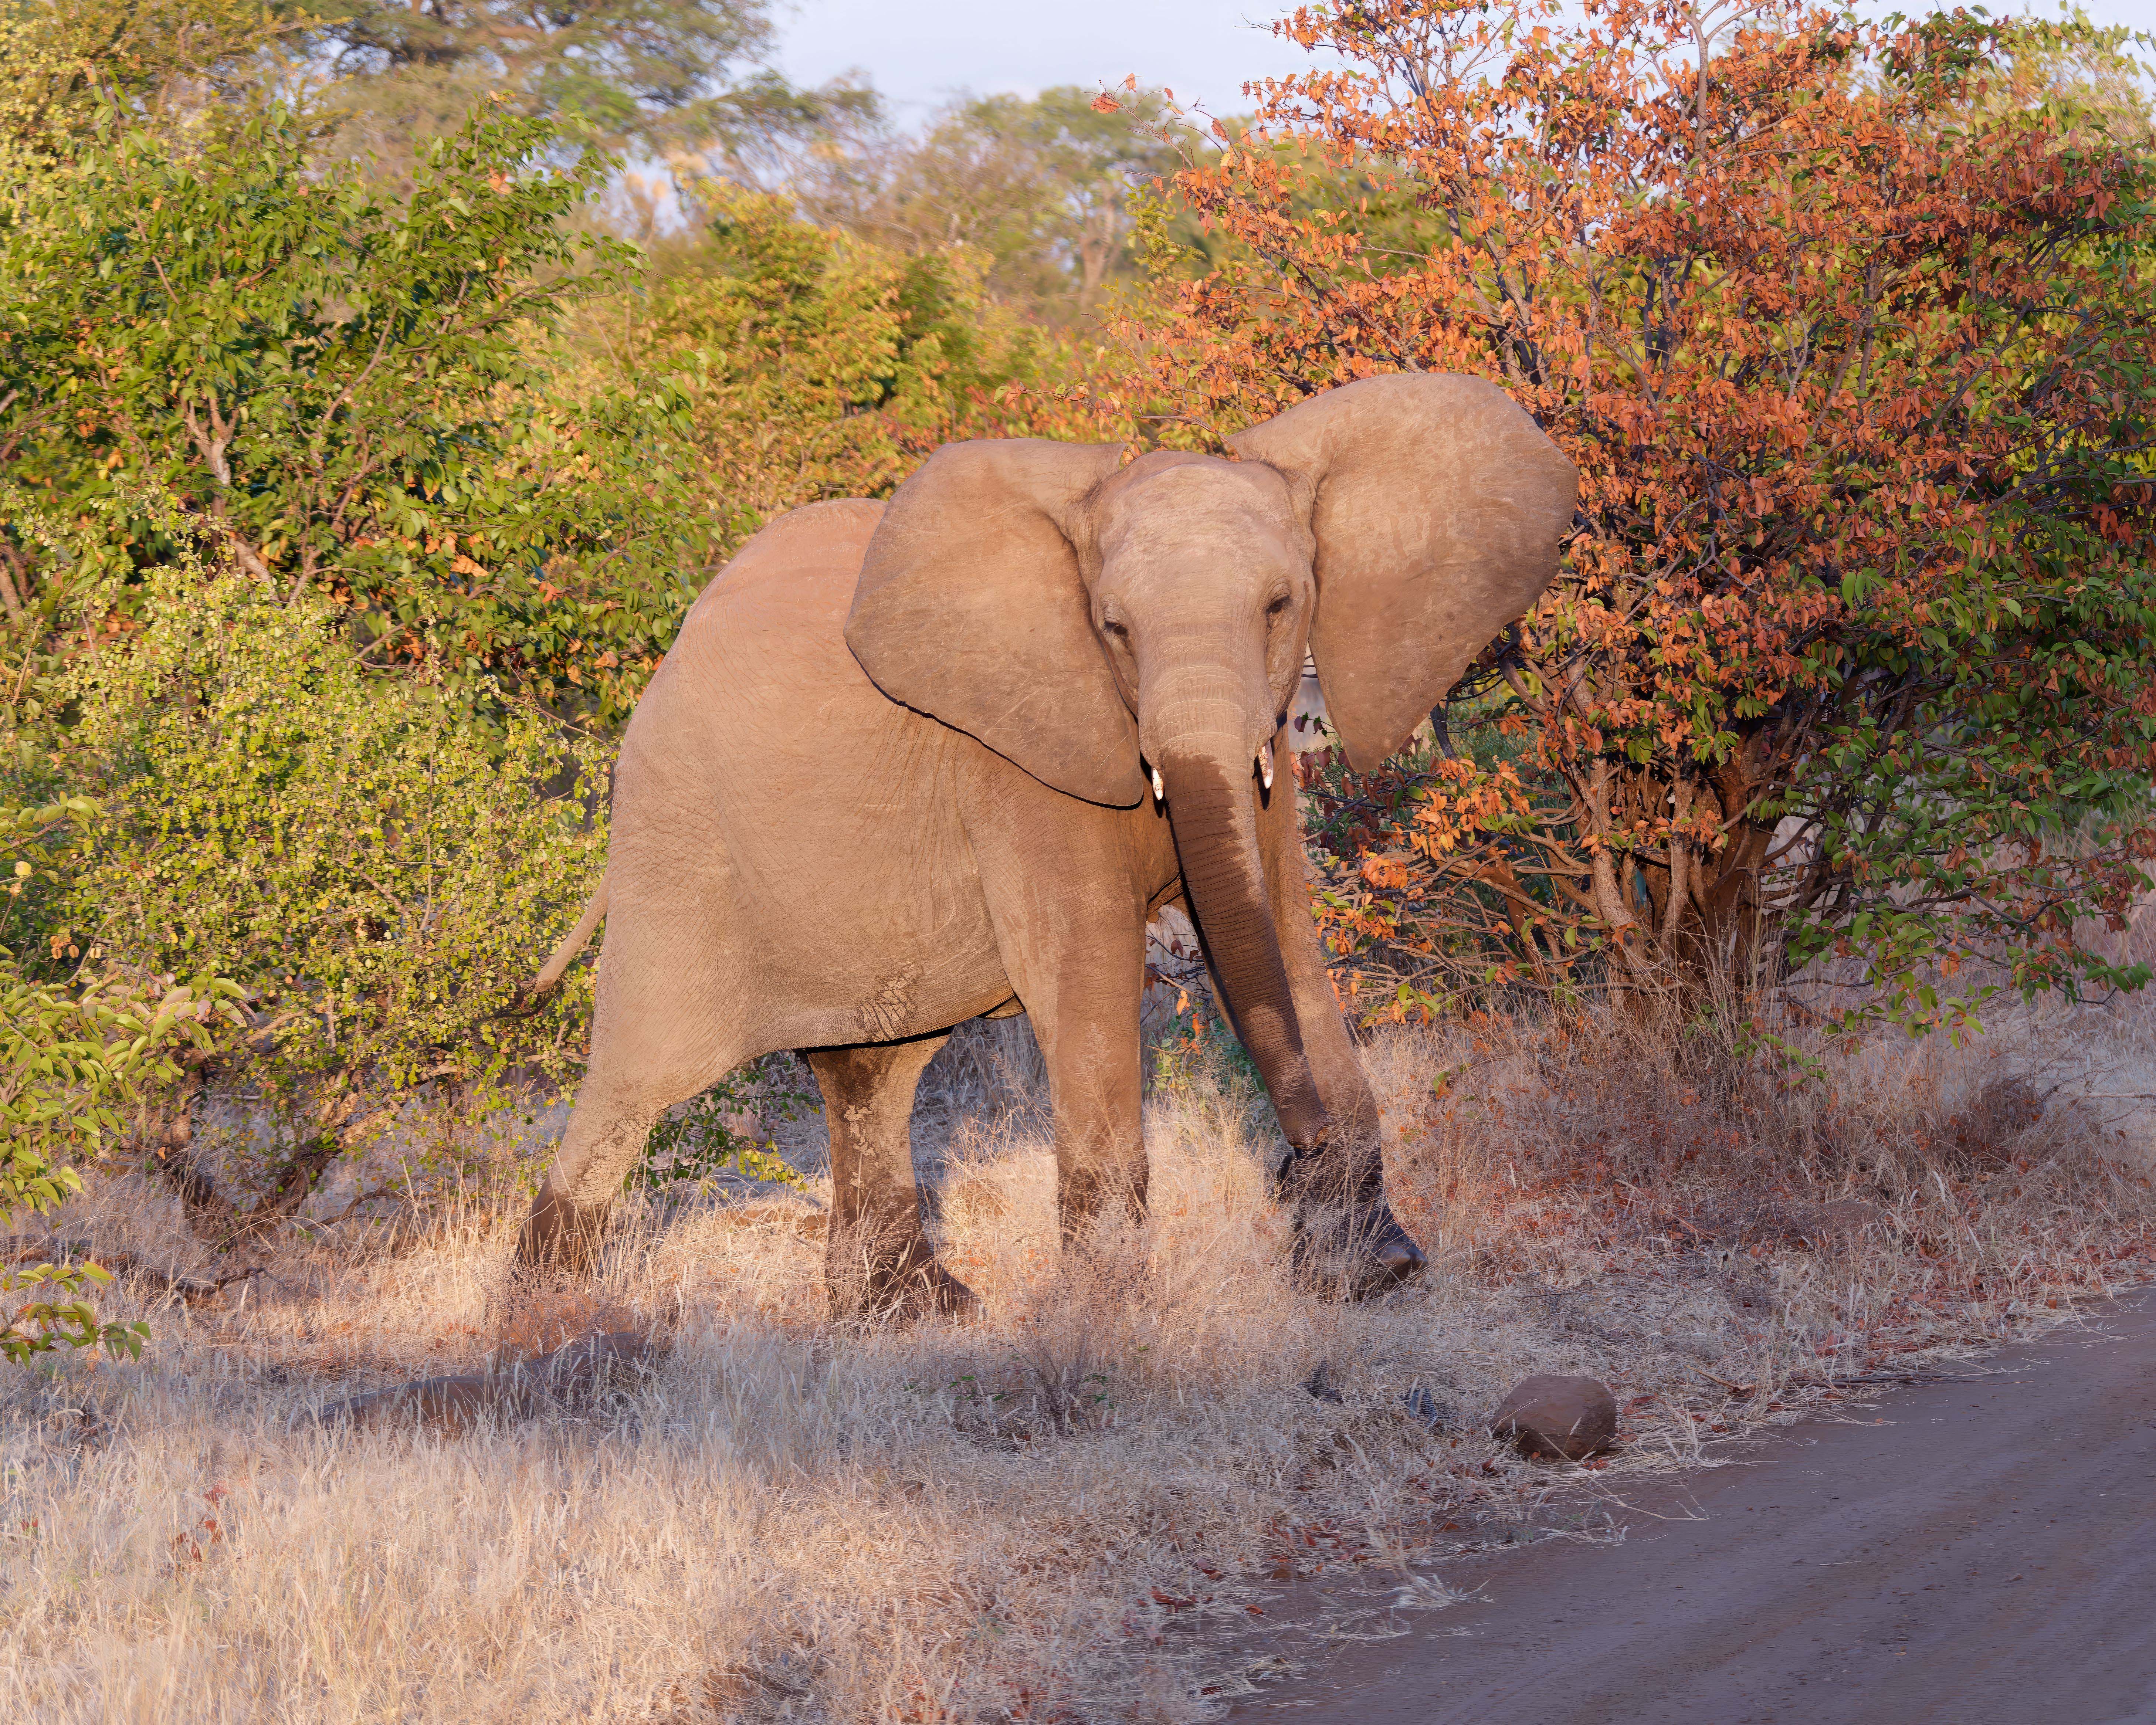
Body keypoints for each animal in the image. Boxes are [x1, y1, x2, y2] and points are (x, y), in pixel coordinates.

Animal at [514, 372, 1577, 1311]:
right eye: (1112, 628)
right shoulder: (1020, 767)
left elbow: (1284, 938)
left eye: (1283, 606)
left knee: (876, 1070)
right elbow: (1088, 969)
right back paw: (549, 1318)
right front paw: (1111, 1318)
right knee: (639, 1075)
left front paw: (1374, 1273)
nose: (1295, 1157)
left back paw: (915, 1314)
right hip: (677, 835)